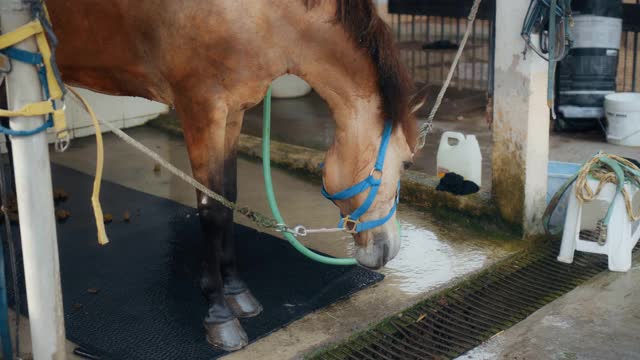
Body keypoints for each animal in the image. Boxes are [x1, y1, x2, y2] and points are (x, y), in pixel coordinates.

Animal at [48, 0, 420, 350]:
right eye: (405, 163)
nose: (390, 249)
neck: (254, 15)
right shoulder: (201, 113)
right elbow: (211, 210)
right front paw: (219, 314)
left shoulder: (232, 114)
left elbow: (228, 198)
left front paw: (237, 292)